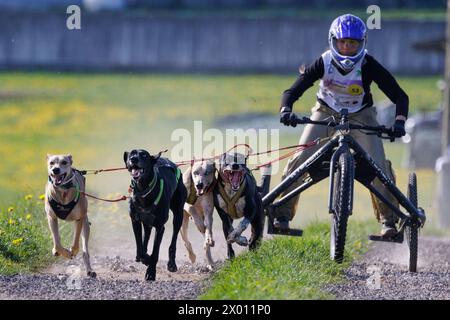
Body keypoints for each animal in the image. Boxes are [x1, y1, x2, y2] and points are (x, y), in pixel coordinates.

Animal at [123, 149, 186, 280]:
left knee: (173, 239)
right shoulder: (135, 221)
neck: (144, 190)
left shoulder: (160, 227)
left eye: (144, 155)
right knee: (146, 236)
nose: (133, 159)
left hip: (178, 215)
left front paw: (151, 272)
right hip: (147, 222)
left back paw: (171, 264)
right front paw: (145, 258)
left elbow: (155, 251)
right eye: (131, 154)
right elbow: (139, 247)